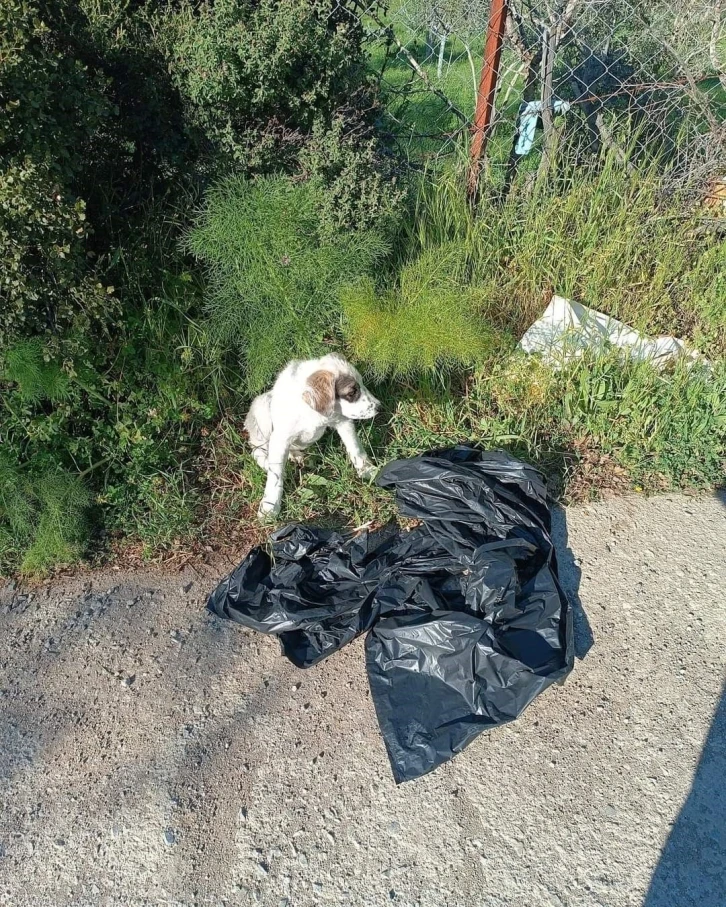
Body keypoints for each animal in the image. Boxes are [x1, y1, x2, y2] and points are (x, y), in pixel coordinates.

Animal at [247, 352, 382, 516]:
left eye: (362, 384)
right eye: (352, 392)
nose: (379, 407)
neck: (311, 411)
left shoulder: (342, 421)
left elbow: (356, 448)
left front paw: (367, 470)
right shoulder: (280, 438)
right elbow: (275, 475)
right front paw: (270, 506)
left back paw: (295, 455)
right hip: (262, 410)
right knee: (257, 450)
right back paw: (269, 463)